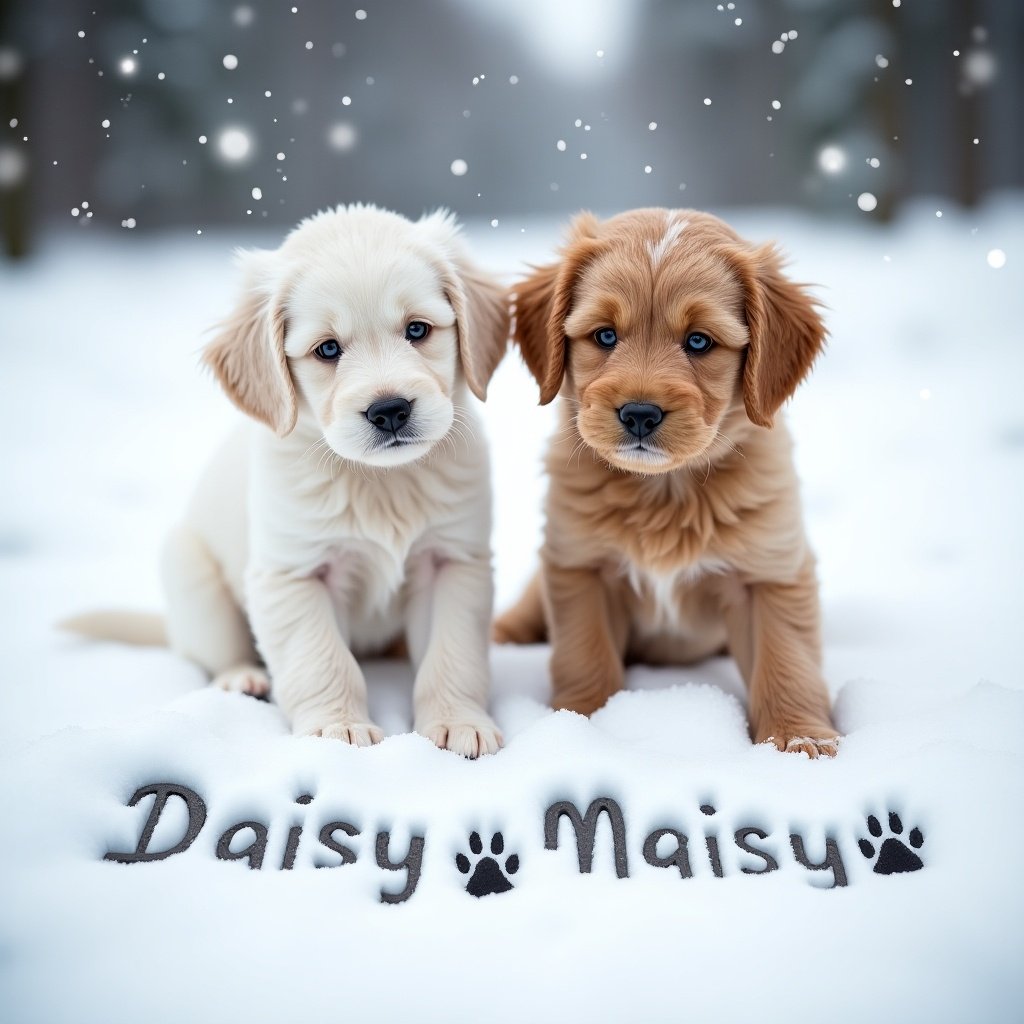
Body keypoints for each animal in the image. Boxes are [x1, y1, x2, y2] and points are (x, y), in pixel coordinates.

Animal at [68, 203, 507, 757]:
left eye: (417, 330)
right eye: (328, 349)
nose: (389, 410)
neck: (379, 482)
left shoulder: (452, 561)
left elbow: (453, 654)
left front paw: (456, 722)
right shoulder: (291, 574)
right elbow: (322, 658)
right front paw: (337, 728)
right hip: (189, 571)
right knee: (217, 653)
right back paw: (242, 678)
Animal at [495, 207, 839, 757]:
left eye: (699, 341)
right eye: (605, 336)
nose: (639, 413)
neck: (665, 490)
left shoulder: (770, 572)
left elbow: (786, 660)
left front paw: (797, 738)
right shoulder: (580, 567)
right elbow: (585, 655)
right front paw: (579, 724)